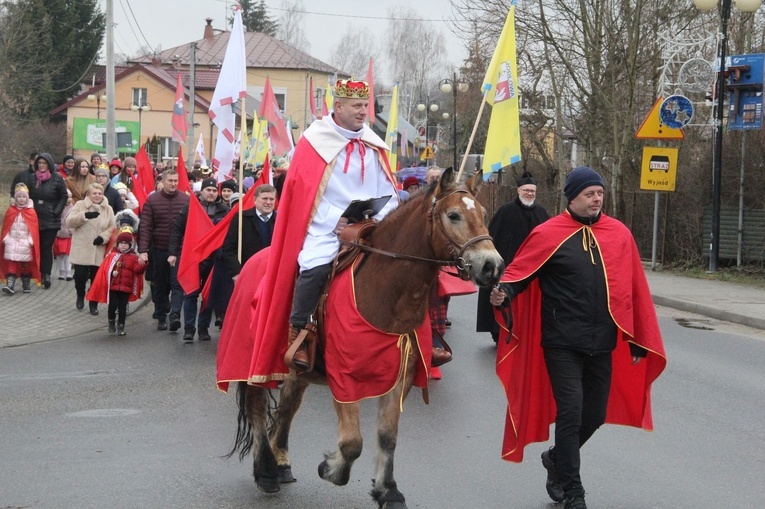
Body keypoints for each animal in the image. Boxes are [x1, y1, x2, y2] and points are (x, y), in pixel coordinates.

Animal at [224, 169, 504, 506]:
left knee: (287, 407)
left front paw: (388, 490)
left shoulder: (401, 377)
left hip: (297, 371)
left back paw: (280, 463)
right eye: (453, 215)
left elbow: (387, 436)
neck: (387, 294)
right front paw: (331, 469)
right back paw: (265, 472)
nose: (492, 266)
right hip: (255, 365)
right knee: (256, 407)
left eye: (484, 214)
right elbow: (352, 443)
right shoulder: (345, 377)